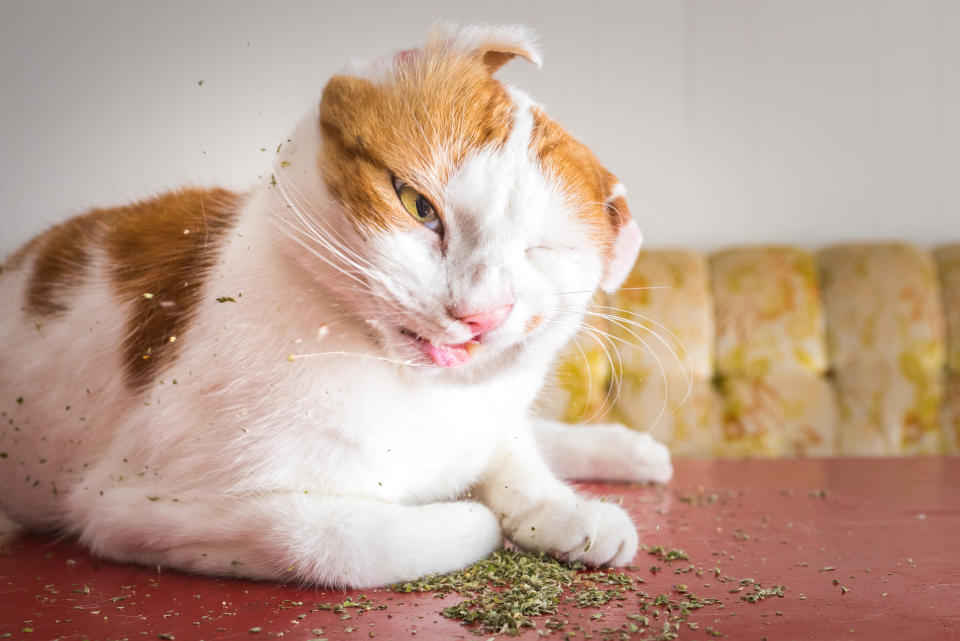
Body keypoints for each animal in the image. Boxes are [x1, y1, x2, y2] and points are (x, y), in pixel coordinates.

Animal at [0, 23, 672, 584]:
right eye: (418, 206)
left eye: (541, 253)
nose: (477, 312)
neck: (419, 399)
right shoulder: (133, 505)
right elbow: (337, 541)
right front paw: (474, 515)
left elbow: (510, 452)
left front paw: (559, 506)